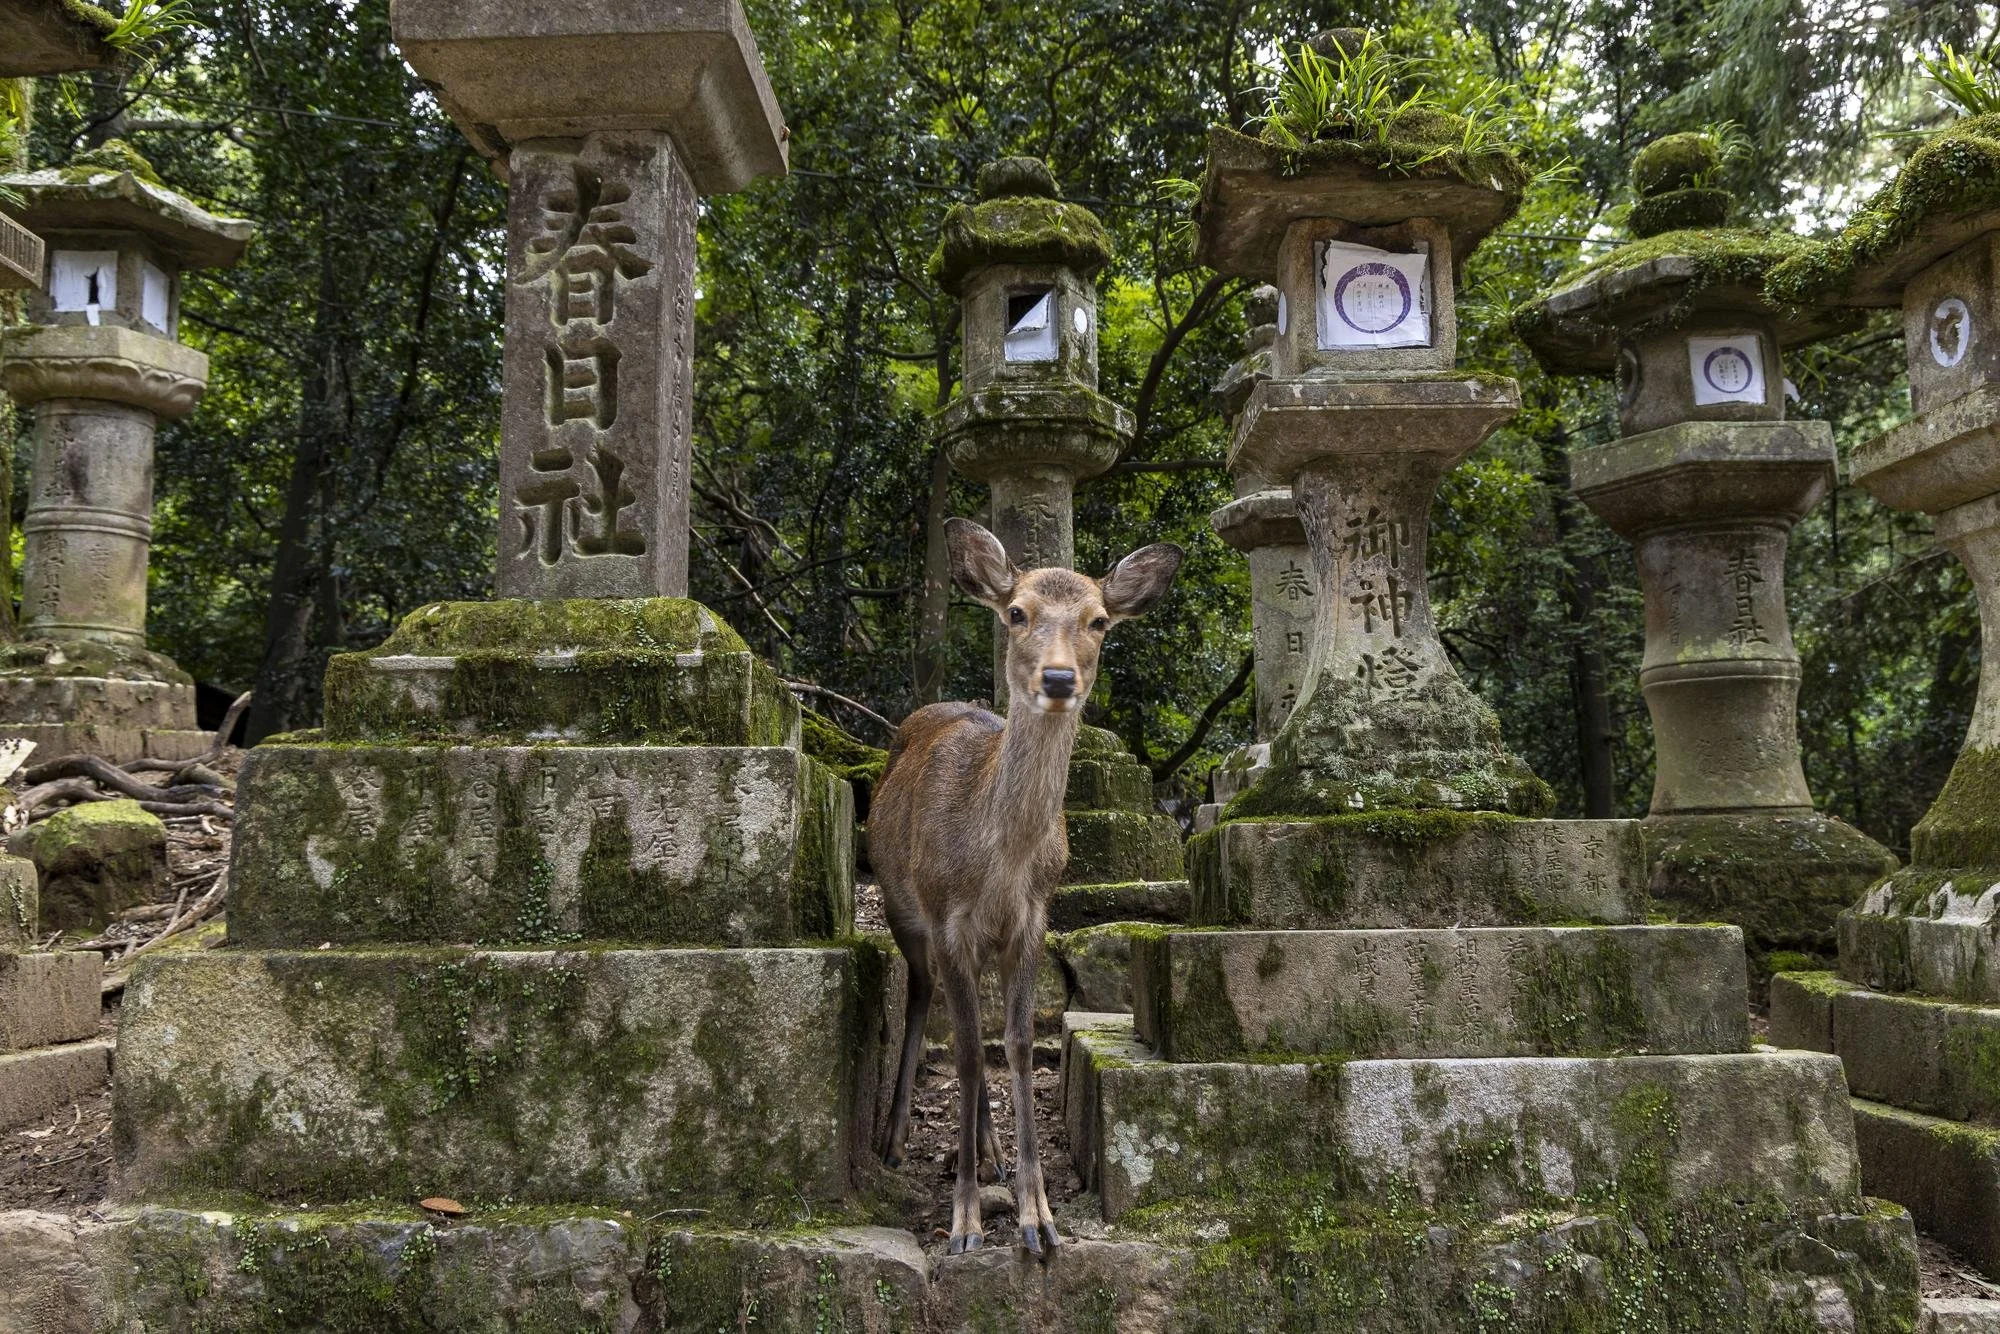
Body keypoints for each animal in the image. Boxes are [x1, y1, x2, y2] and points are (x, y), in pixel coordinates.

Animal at [871, 517, 1183, 1257]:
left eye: (1099, 620)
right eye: (1016, 612)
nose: (1060, 677)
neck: (999, 863)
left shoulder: (1034, 917)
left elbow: (1010, 1043)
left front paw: (1037, 1219)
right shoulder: (948, 917)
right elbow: (960, 1051)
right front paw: (963, 1225)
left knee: (978, 1027)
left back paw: (986, 1149)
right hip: (904, 910)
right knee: (924, 998)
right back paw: (896, 1139)